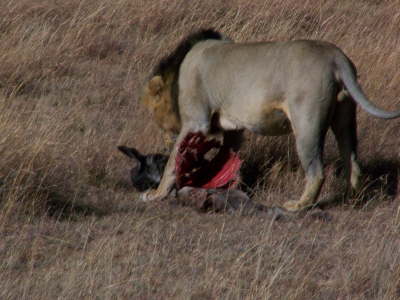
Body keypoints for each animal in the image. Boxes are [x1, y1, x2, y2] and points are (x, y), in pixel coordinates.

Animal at [138, 28, 400, 211]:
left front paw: (156, 193)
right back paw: (351, 199)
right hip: (345, 118)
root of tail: (335, 56)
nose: (163, 142)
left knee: (317, 171)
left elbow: (173, 162)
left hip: (306, 122)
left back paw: (298, 206)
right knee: (353, 160)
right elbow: (225, 155)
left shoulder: (196, 121)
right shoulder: (234, 130)